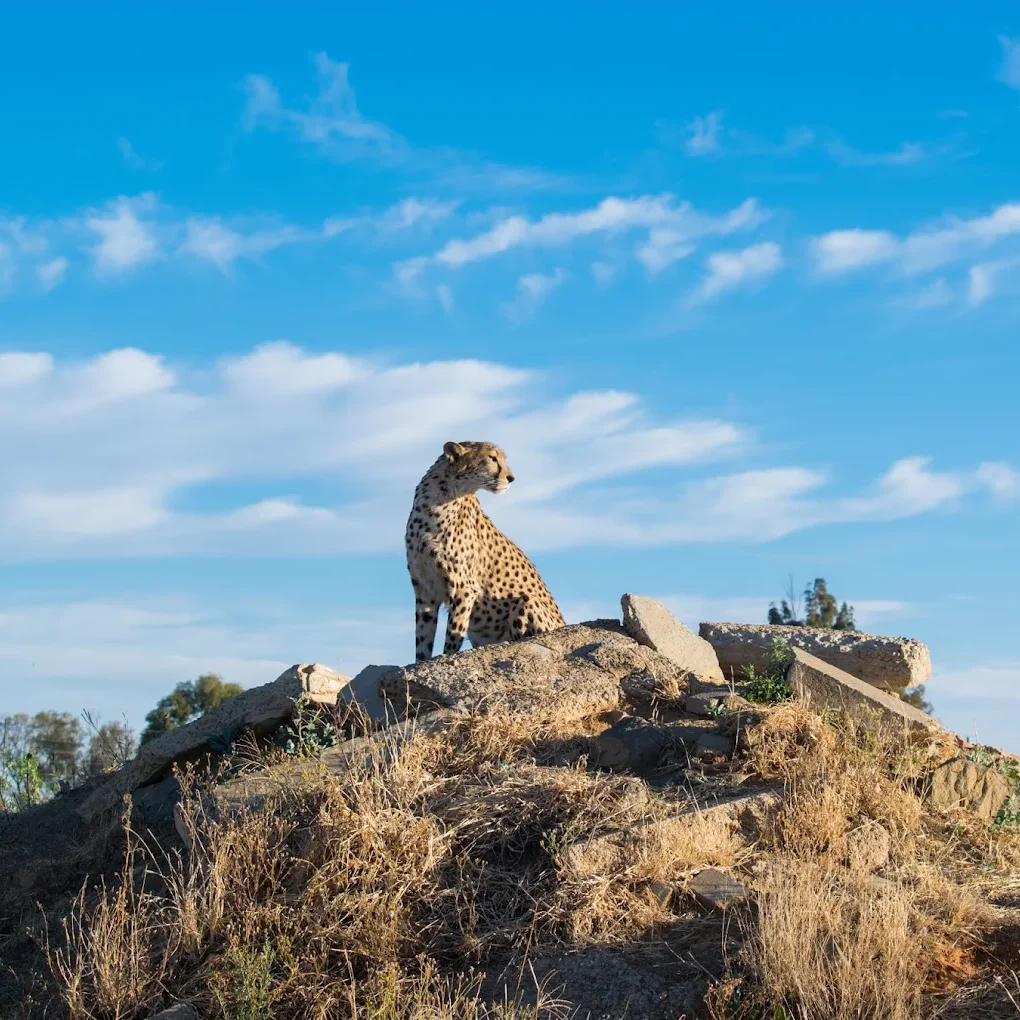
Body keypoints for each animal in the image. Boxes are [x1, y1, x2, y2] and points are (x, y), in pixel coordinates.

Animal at [405, 441, 565, 661]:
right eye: (492, 458)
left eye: (502, 459)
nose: (511, 478)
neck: (439, 500)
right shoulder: (425, 588)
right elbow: (422, 641)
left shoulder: (464, 588)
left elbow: (453, 636)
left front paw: (447, 656)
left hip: (526, 601)